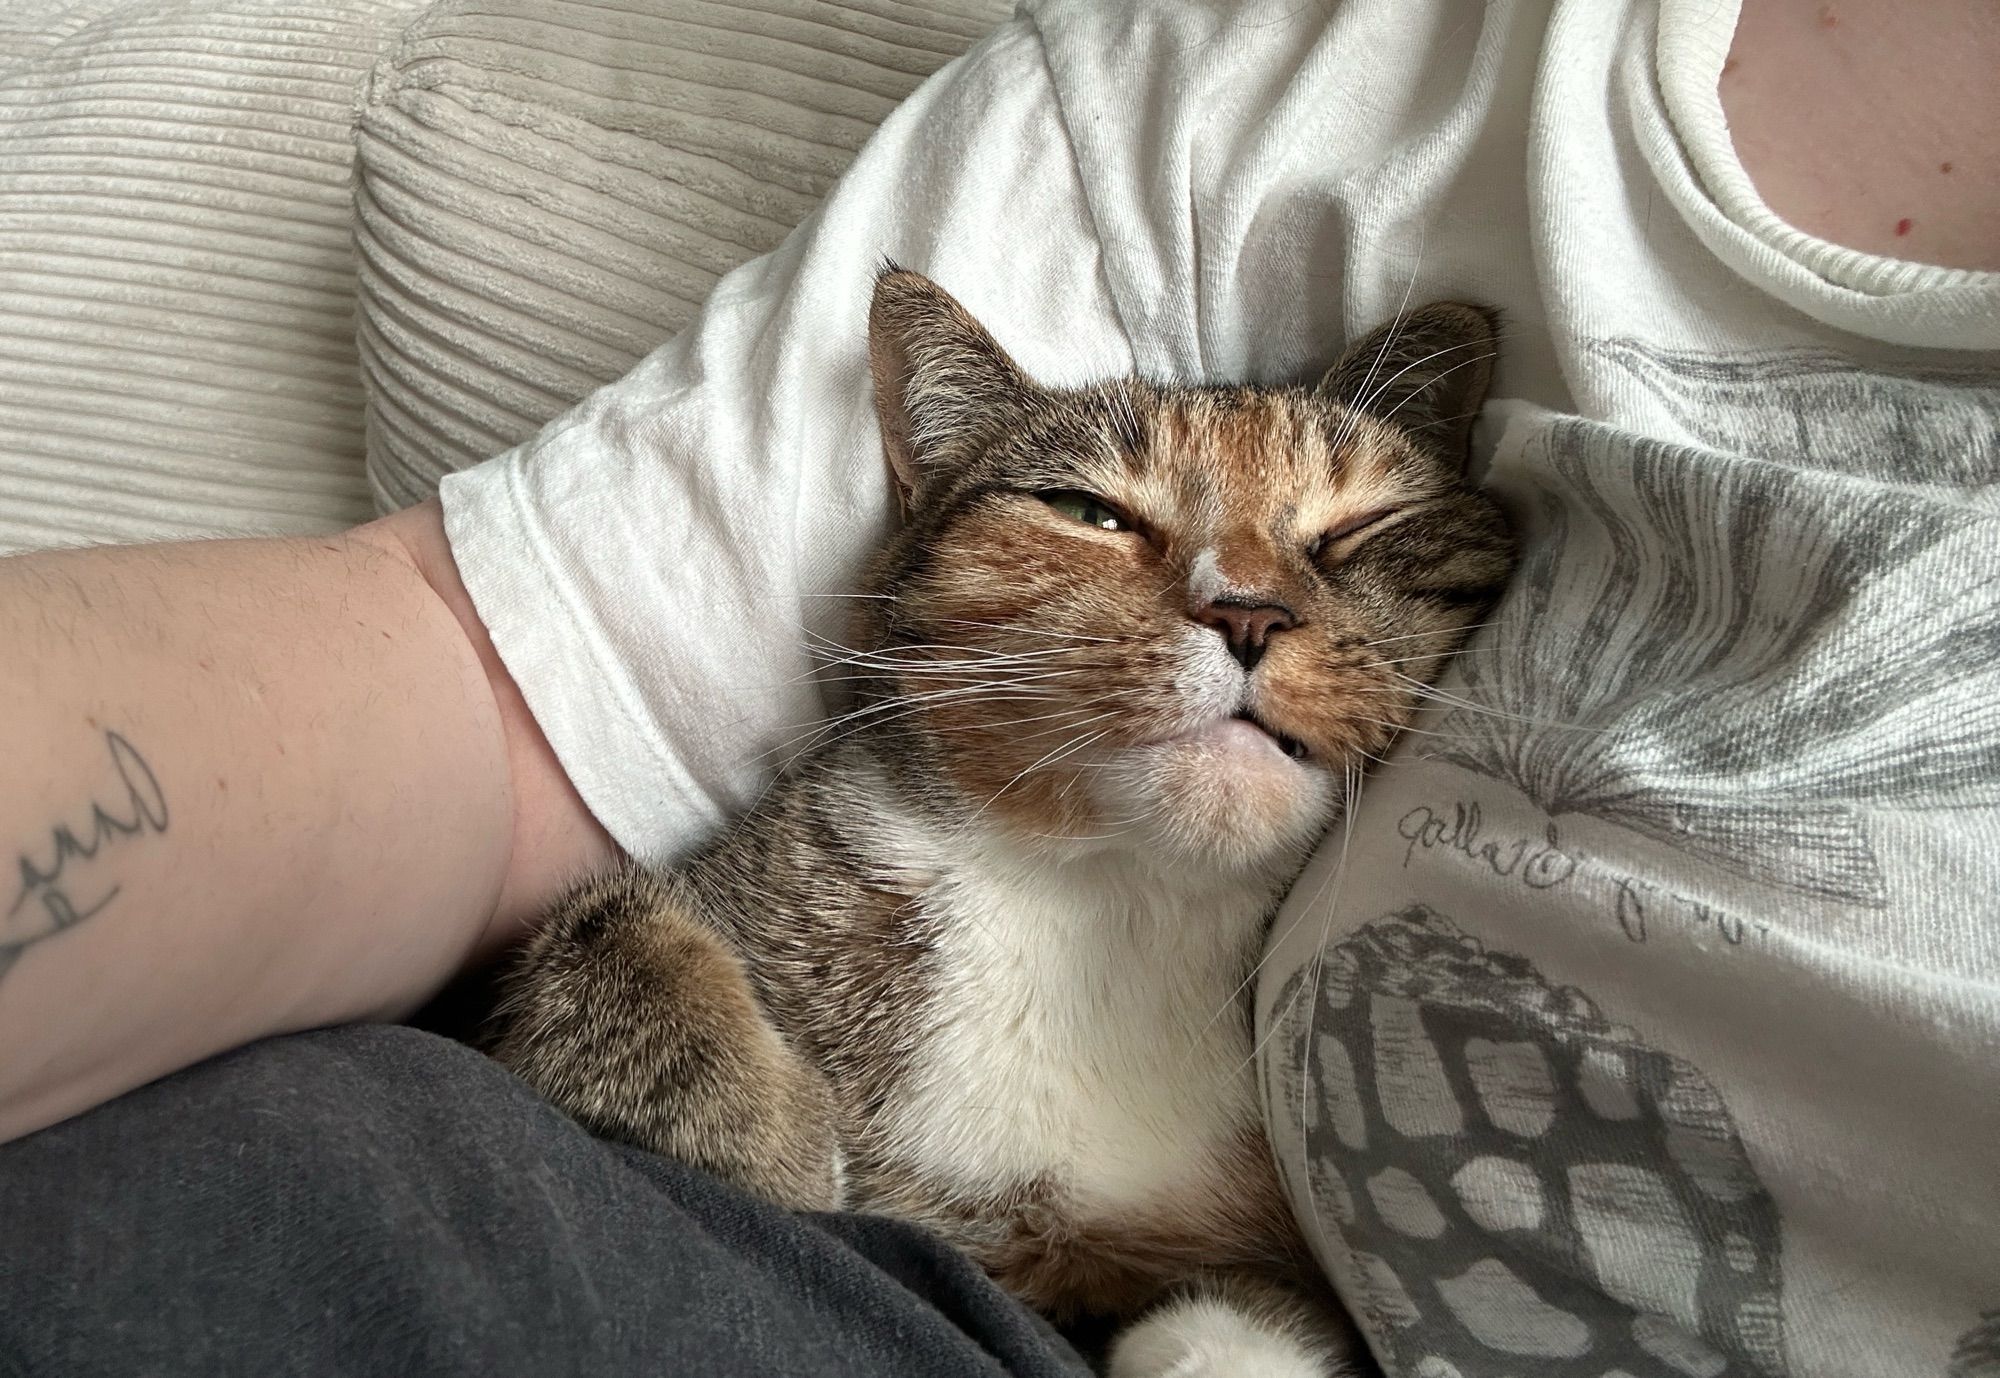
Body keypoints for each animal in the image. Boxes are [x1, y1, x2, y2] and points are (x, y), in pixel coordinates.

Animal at [488, 272, 1512, 1376]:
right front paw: (761, 1151)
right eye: (1089, 512)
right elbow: (606, 932)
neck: (1110, 899)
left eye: (1363, 522)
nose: (1247, 611)